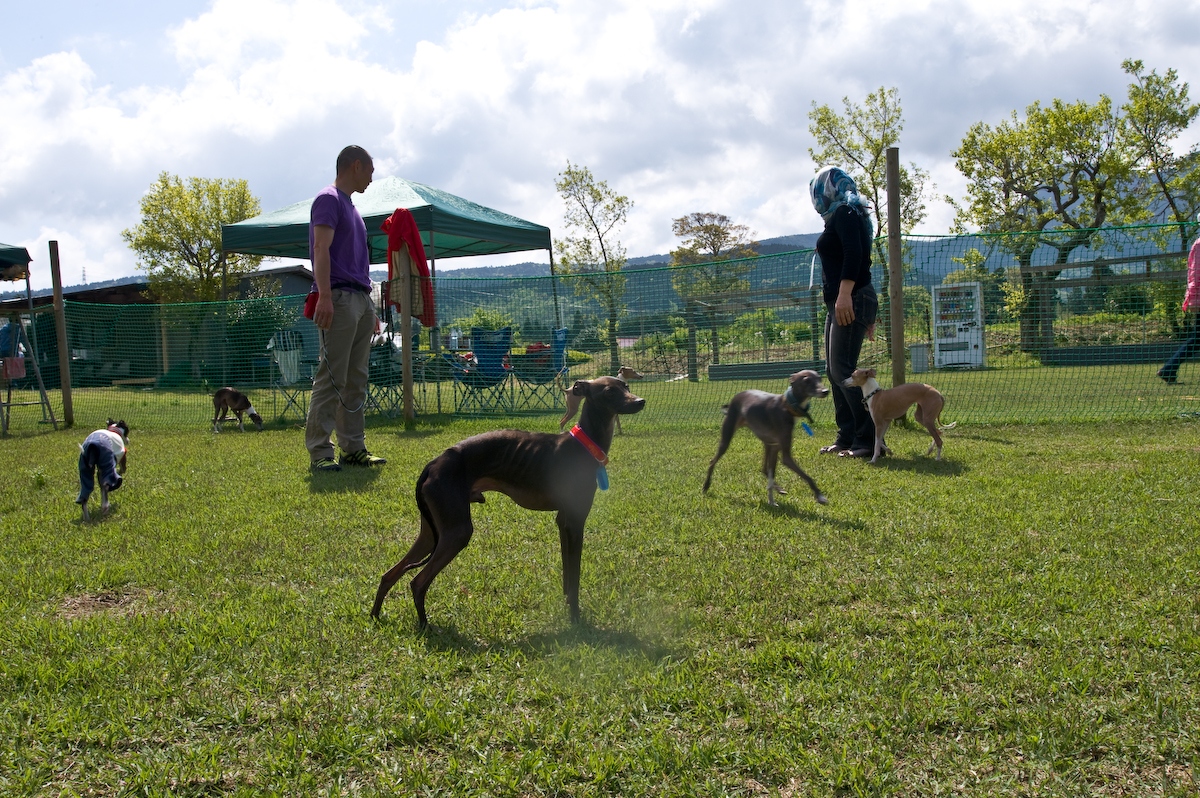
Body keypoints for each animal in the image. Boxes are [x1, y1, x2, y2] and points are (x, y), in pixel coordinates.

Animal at [371, 376, 646, 628]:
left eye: (626, 386)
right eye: (609, 391)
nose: (640, 402)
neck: (583, 445)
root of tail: (434, 463)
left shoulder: (563, 521)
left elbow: (568, 576)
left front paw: (568, 605)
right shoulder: (575, 522)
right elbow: (575, 577)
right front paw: (576, 620)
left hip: (432, 533)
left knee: (389, 574)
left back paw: (375, 615)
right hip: (457, 532)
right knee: (417, 581)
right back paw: (424, 625)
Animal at [702, 370, 830, 506]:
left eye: (820, 378)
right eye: (806, 380)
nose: (825, 391)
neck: (787, 406)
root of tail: (737, 396)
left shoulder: (776, 447)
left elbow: (771, 474)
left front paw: (772, 501)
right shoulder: (785, 456)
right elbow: (806, 476)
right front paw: (820, 496)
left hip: (767, 444)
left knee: (764, 469)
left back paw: (777, 489)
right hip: (727, 436)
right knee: (712, 461)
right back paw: (706, 486)